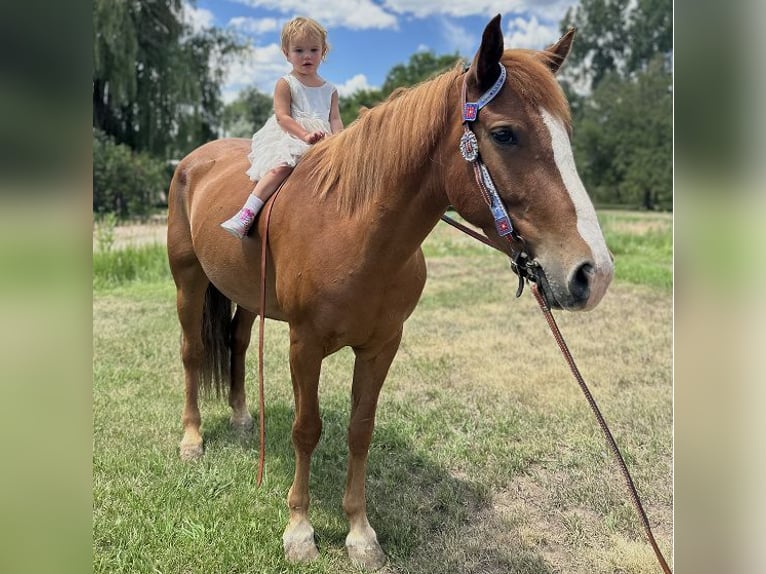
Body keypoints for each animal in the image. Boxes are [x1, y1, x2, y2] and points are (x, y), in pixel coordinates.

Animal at [166, 14, 613, 570]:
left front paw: (360, 534)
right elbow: (306, 429)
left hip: (249, 298)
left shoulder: (382, 346)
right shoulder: (304, 345)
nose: (593, 273)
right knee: (192, 352)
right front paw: (300, 530)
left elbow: (361, 430)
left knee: (238, 344)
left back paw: (244, 419)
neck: (352, 228)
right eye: (504, 134)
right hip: (187, 280)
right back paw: (192, 439)